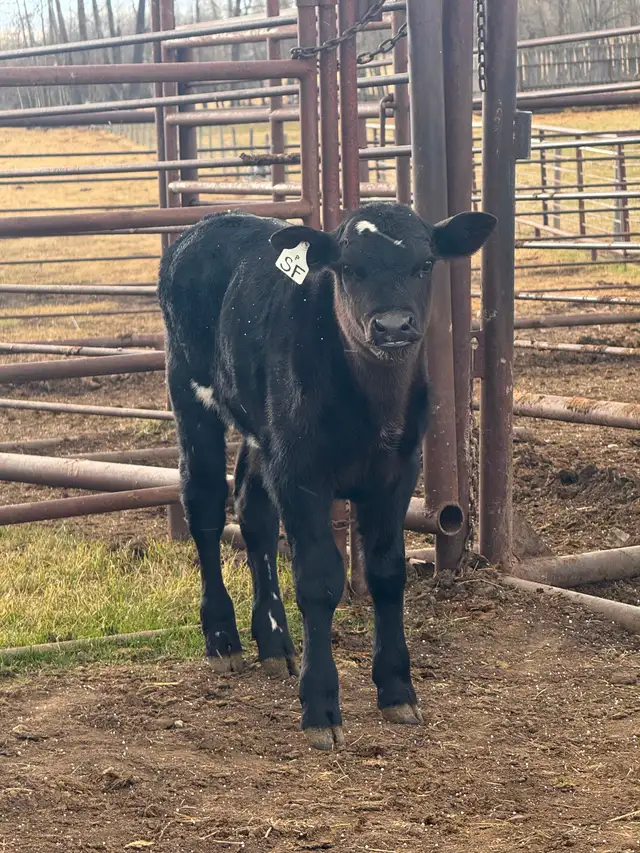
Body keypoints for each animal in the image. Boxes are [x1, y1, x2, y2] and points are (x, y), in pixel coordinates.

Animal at [158, 202, 496, 750]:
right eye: (349, 268)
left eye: (425, 264)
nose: (393, 325)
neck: (371, 410)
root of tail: (210, 221)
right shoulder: (301, 473)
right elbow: (318, 580)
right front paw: (320, 706)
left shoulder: (398, 472)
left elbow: (387, 573)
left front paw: (397, 689)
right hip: (190, 392)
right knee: (204, 505)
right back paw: (223, 637)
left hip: (263, 431)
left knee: (252, 512)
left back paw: (274, 642)